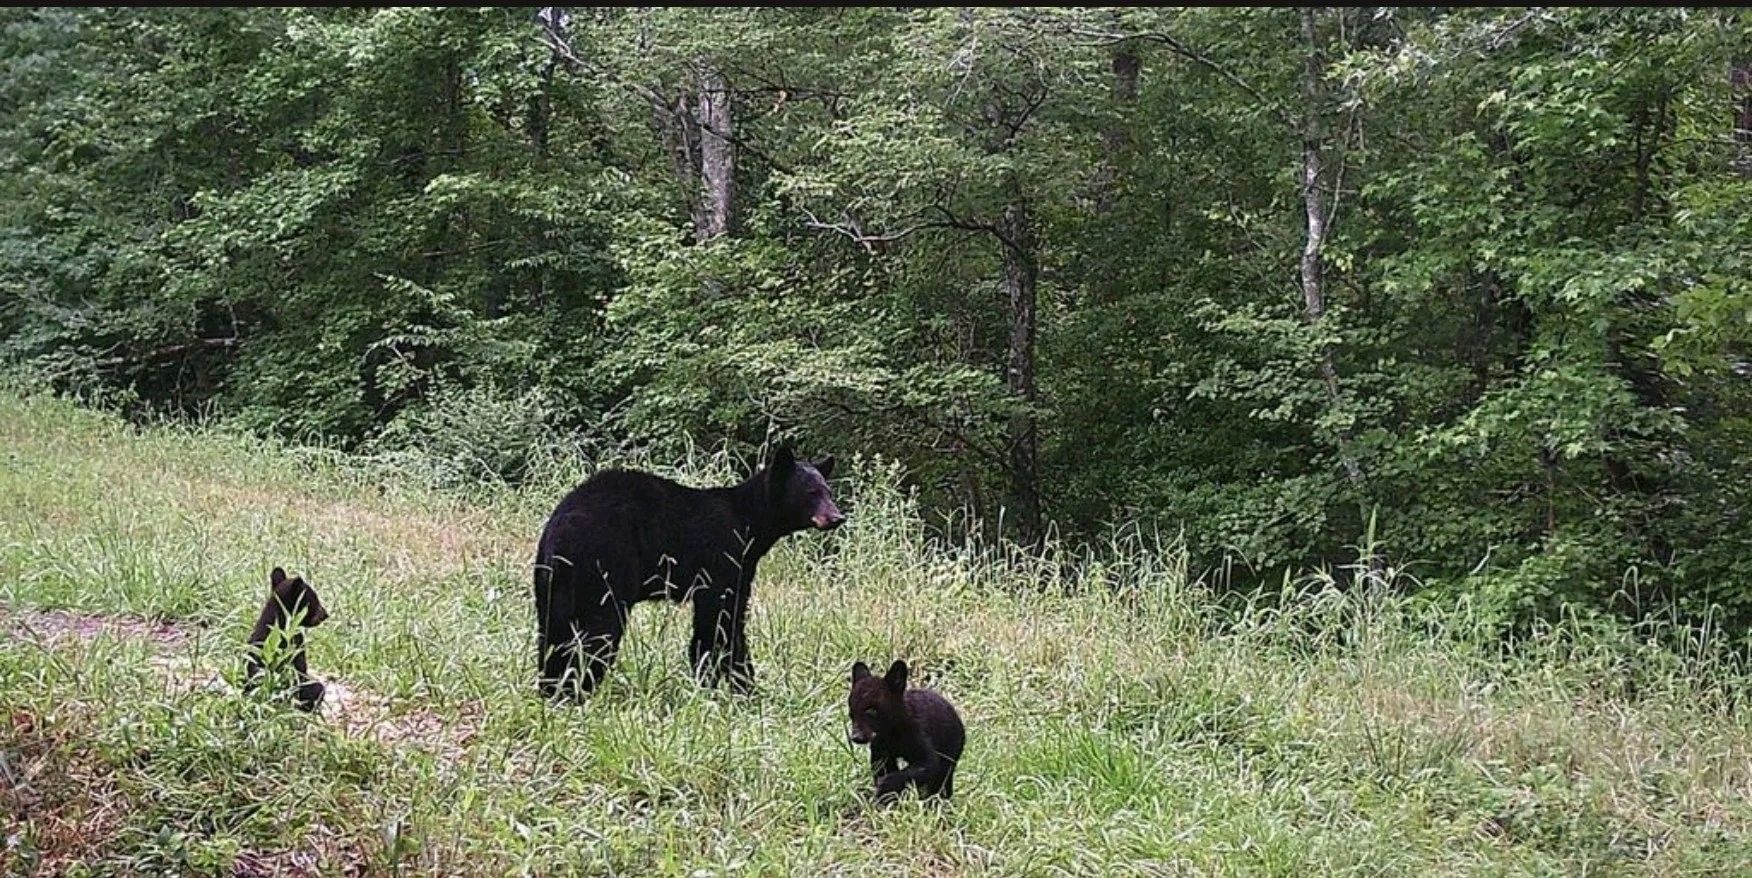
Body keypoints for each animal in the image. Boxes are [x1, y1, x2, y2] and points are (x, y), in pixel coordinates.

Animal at [533, 446, 844, 699]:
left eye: (828, 492)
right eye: (812, 493)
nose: (837, 517)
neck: (751, 525)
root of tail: (560, 531)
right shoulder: (723, 559)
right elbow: (718, 621)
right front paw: (727, 686)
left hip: (554, 581)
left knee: (553, 633)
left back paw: (553, 690)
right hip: (605, 566)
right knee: (598, 634)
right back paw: (579, 691)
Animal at [848, 659, 966, 802]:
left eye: (872, 710)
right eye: (851, 712)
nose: (856, 737)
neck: (892, 733)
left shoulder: (919, 737)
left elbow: (928, 764)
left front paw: (885, 786)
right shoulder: (880, 749)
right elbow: (882, 767)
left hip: (951, 749)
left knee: (942, 779)